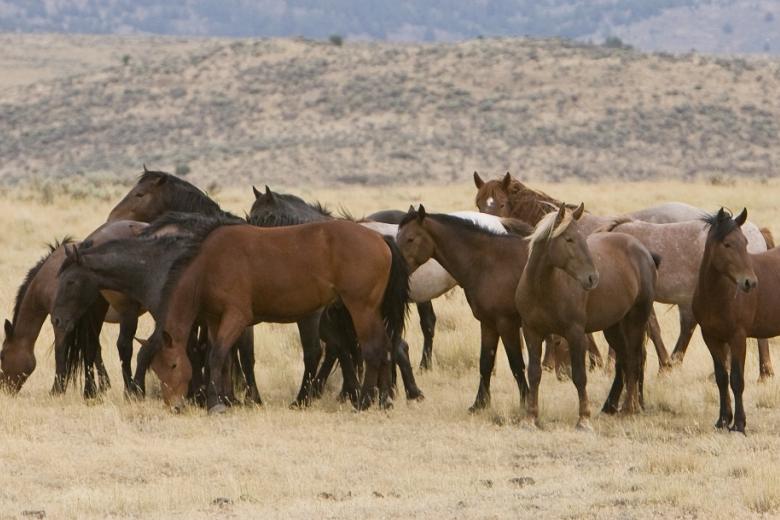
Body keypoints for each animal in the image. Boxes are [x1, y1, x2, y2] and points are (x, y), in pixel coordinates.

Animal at [396, 206, 536, 411]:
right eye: (397, 236)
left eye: (410, 239)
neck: (490, 262)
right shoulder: (488, 324)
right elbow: (485, 363)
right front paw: (479, 404)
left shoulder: (506, 324)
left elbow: (516, 364)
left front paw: (525, 403)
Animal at [515, 204, 659, 430]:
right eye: (569, 239)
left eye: (582, 237)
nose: (592, 278)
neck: (542, 289)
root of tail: (643, 251)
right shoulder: (532, 332)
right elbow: (534, 373)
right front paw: (530, 417)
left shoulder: (575, 334)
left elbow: (580, 376)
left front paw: (584, 418)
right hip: (614, 327)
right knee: (626, 360)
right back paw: (625, 407)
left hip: (636, 320)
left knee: (635, 360)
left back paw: (629, 408)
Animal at [692, 208, 780, 433]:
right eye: (727, 244)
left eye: (745, 242)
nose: (750, 282)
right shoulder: (711, 338)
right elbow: (722, 378)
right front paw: (723, 420)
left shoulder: (738, 337)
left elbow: (737, 380)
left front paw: (739, 424)